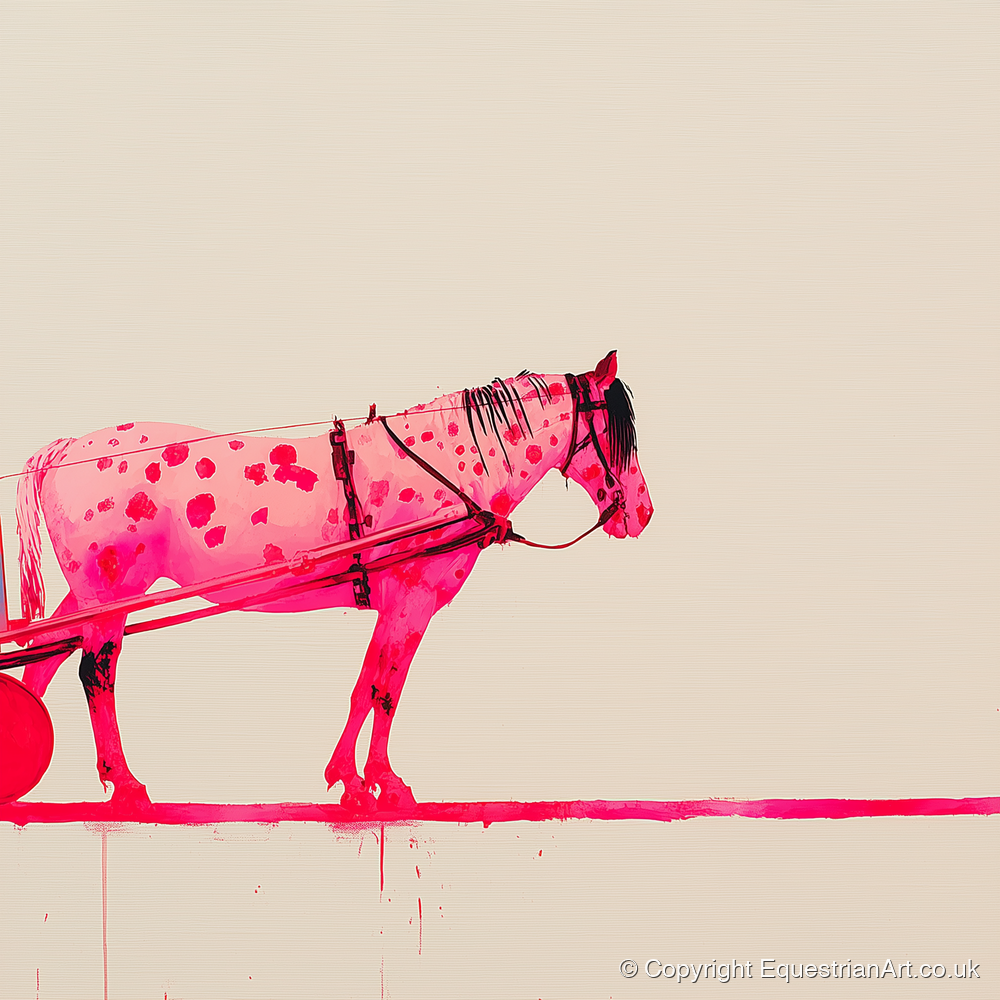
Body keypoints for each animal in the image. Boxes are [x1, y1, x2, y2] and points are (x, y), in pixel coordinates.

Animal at [14, 351, 652, 812]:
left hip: (92, 593)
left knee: (45, 658)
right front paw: (385, 784)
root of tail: (64, 448)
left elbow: (367, 682)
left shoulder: (394, 599)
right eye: (617, 432)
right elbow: (387, 688)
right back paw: (125, 786)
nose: (642, 512)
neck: (453, 463)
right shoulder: (414, 595)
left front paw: (349, 779)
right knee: (95, 672)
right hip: (112, 589)